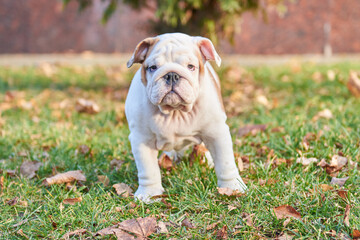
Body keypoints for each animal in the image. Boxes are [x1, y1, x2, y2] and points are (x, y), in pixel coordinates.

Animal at [125, 32, 246, 202]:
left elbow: (225, 163)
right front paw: (149, 193)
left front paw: (232, 187)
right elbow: (148, 169)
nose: (171, 75)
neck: (175, 111)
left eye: (191, 66)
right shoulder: (141, 139)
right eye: (152, 68)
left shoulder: (217, 132)